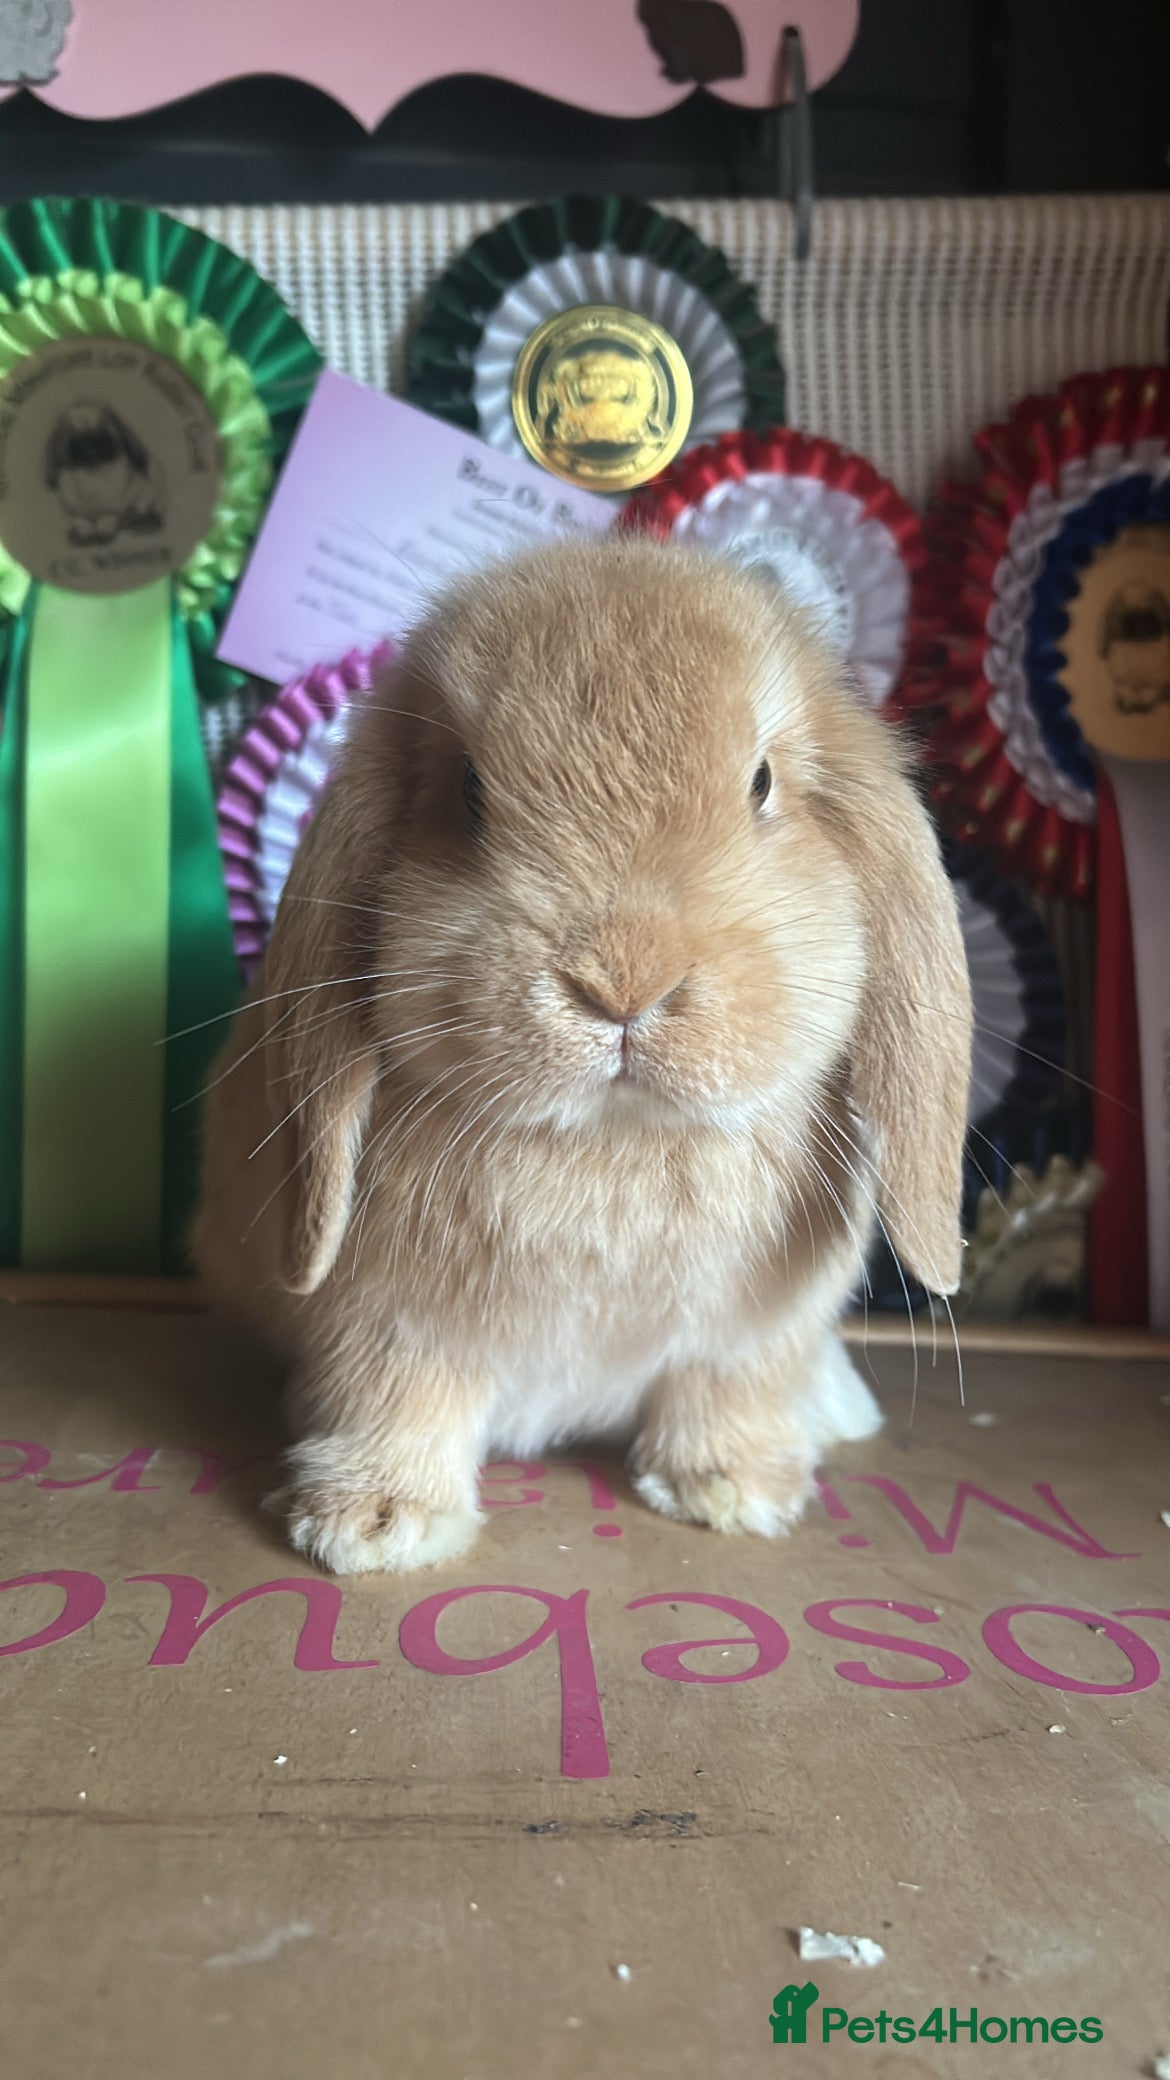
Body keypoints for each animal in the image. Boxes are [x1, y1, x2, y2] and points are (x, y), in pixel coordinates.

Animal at [193, 532, 971, 1576]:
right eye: (469, 792)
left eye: (762, 782)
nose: (623, 983)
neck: (615, 1140)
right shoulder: (386, 1325)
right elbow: (394, 1398)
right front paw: (372, 1524)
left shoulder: (744, 1338)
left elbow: (725, 1391)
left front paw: (735, 1491)